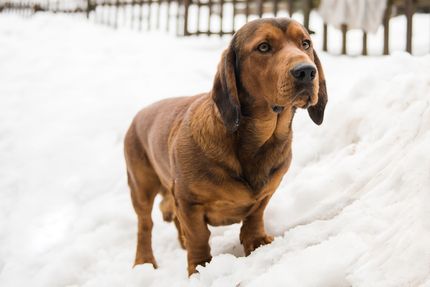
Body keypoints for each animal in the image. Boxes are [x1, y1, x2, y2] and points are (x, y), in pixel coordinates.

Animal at [124, 18, 330, 276]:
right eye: (263, 47)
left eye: (305, 43)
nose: (306, 71)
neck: (258, 141)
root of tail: (140, 114)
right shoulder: (188, 201)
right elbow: (198, 236)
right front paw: (199, 268)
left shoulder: (266, 193)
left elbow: (255, 217)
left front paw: (257, 242)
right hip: (141, 187)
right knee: (145, 225)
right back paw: (144, 261)